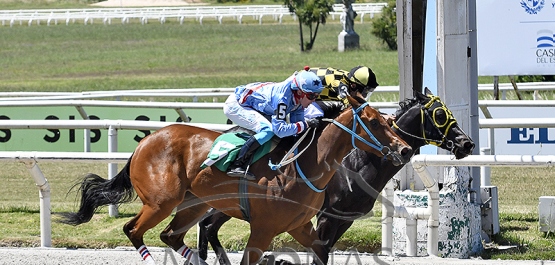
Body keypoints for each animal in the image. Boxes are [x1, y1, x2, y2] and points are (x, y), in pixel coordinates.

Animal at [59, 95, 412, 264]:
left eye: (389, 119)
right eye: (373, 122)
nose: (405, 149)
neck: (304, 165)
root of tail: (144, 142)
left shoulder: (302, 226)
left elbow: (322, 254)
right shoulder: (264, 229)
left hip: (194, 204)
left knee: (171, 236)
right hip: (162, 202)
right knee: (133, 231)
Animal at [198, 87, 476, 262]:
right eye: (439, 115)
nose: (467, 144)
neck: (355, 164)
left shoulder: (344, 220)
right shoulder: (326, 218)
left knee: (208, 226)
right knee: (207, 225)